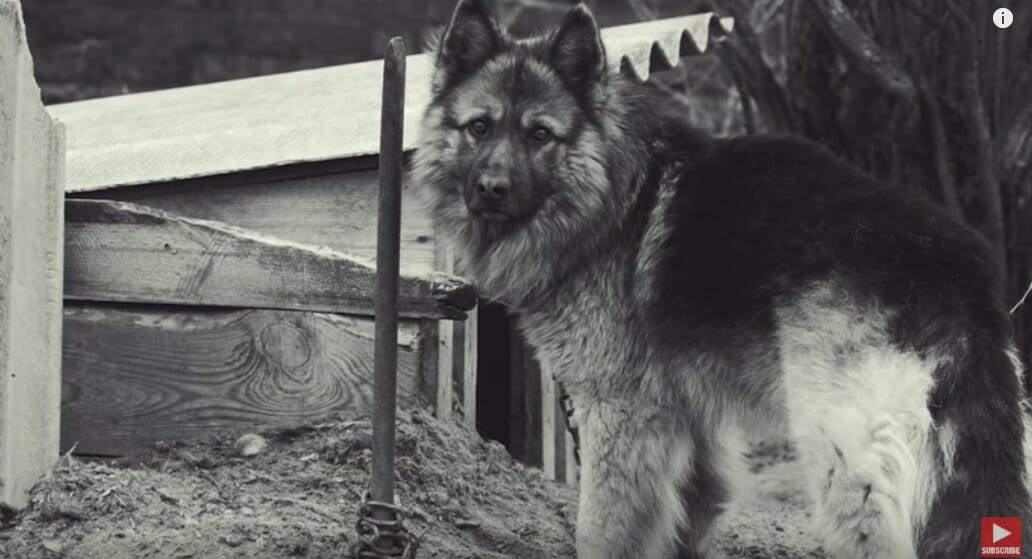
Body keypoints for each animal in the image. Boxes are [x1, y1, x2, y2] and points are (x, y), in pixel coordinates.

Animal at [410, 2, 1032, 556]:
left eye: (540, 135)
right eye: (479, 127)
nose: (492, 189)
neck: (615, 199)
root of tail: (950, 263)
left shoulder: (620, 413)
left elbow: (601, 531)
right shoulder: (690, 422)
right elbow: (694, 509)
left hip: (845, 467)